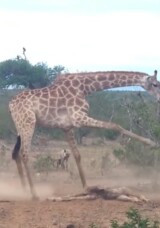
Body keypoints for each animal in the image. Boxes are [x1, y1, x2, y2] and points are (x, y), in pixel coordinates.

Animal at [9, 70, 160, 200]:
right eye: (155, 84)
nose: (159, 99)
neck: (85, 87)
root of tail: (10, 105)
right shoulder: (78, 118)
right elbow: (115, 126)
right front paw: (151, 143)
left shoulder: (67, 126)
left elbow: (77, 155)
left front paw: (87, 188)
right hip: (28, 123)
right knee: (24, 153)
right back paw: (34, 194)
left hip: (20, 128)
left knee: (15, 154)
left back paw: (23, 190)